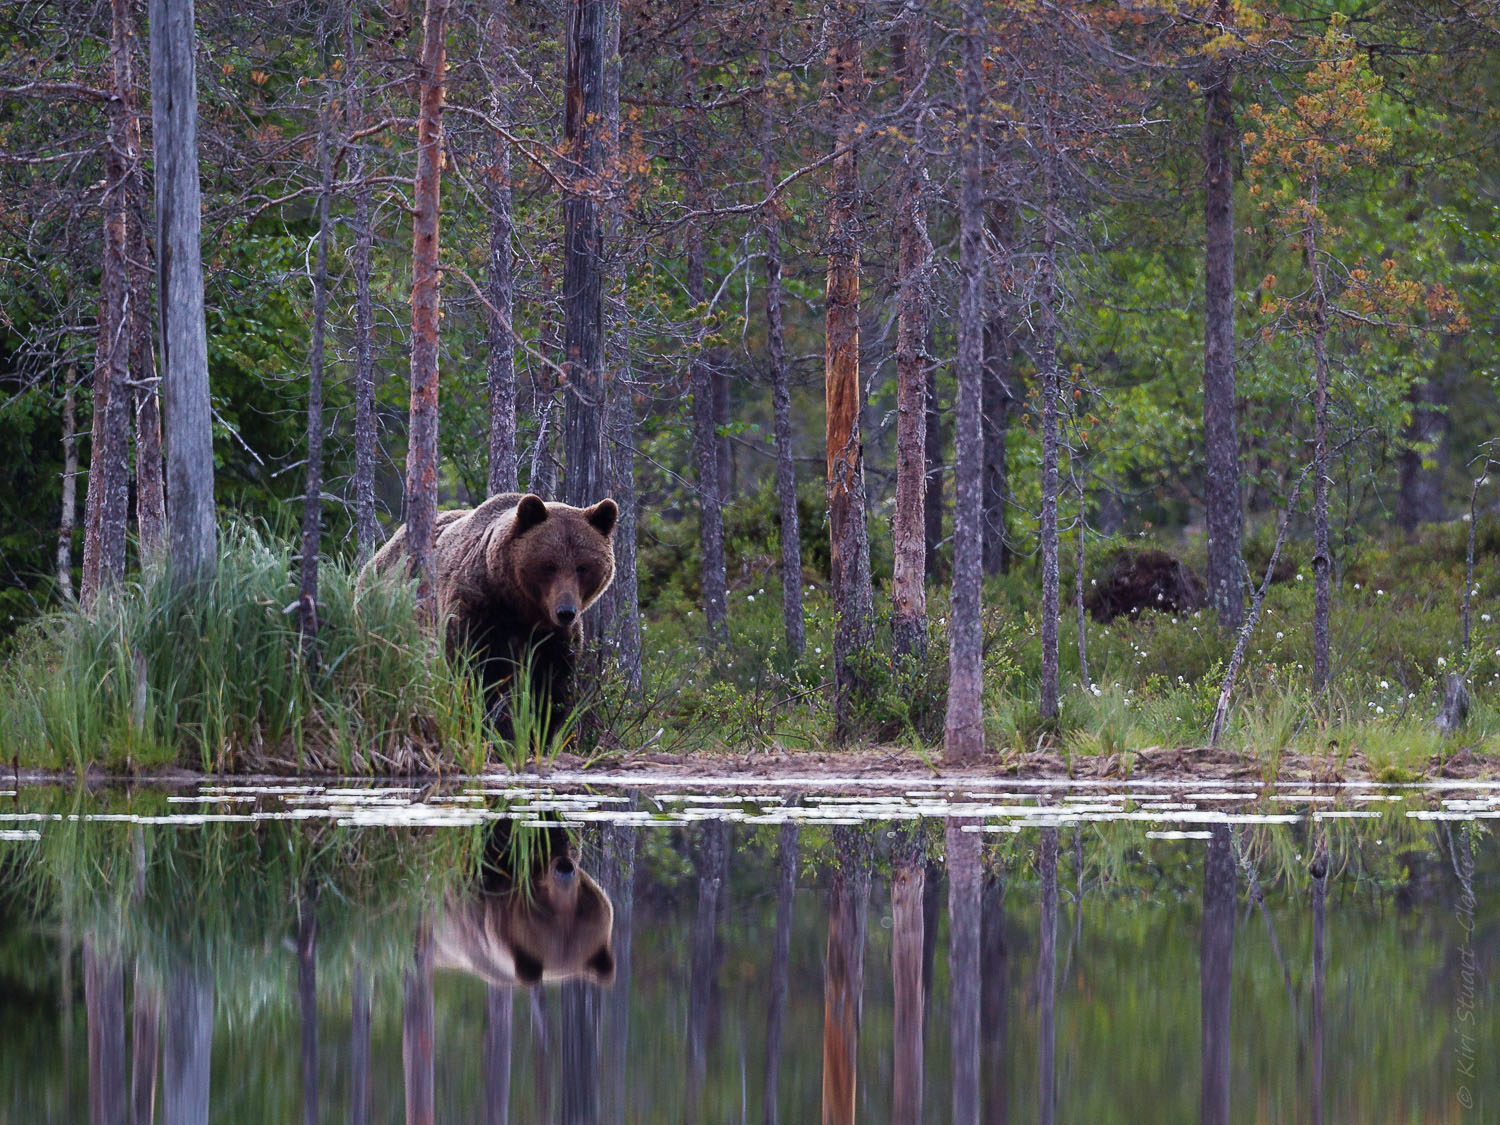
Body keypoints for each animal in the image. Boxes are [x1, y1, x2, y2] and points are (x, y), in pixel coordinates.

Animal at [361, 492, 615, 732]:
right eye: (549, 565)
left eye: (582, 567)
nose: (565, 612)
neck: (521, 608)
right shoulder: (478, 613)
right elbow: (475, 676)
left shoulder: (554, 640)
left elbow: (549, 692)